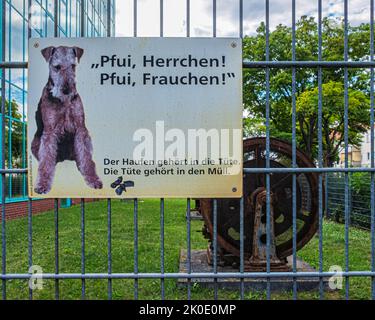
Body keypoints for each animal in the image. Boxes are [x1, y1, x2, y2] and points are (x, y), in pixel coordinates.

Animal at [31, 46, 103, 194]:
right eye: (57, 67)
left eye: (73, 66)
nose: (67, 90)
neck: (63, 102)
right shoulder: (49, 131)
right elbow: (45, 161)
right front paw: (42, 185)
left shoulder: (81, 128)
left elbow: (86, 157)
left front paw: (93, 179)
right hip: (35, 143)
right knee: (46, 159)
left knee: (84, 157)